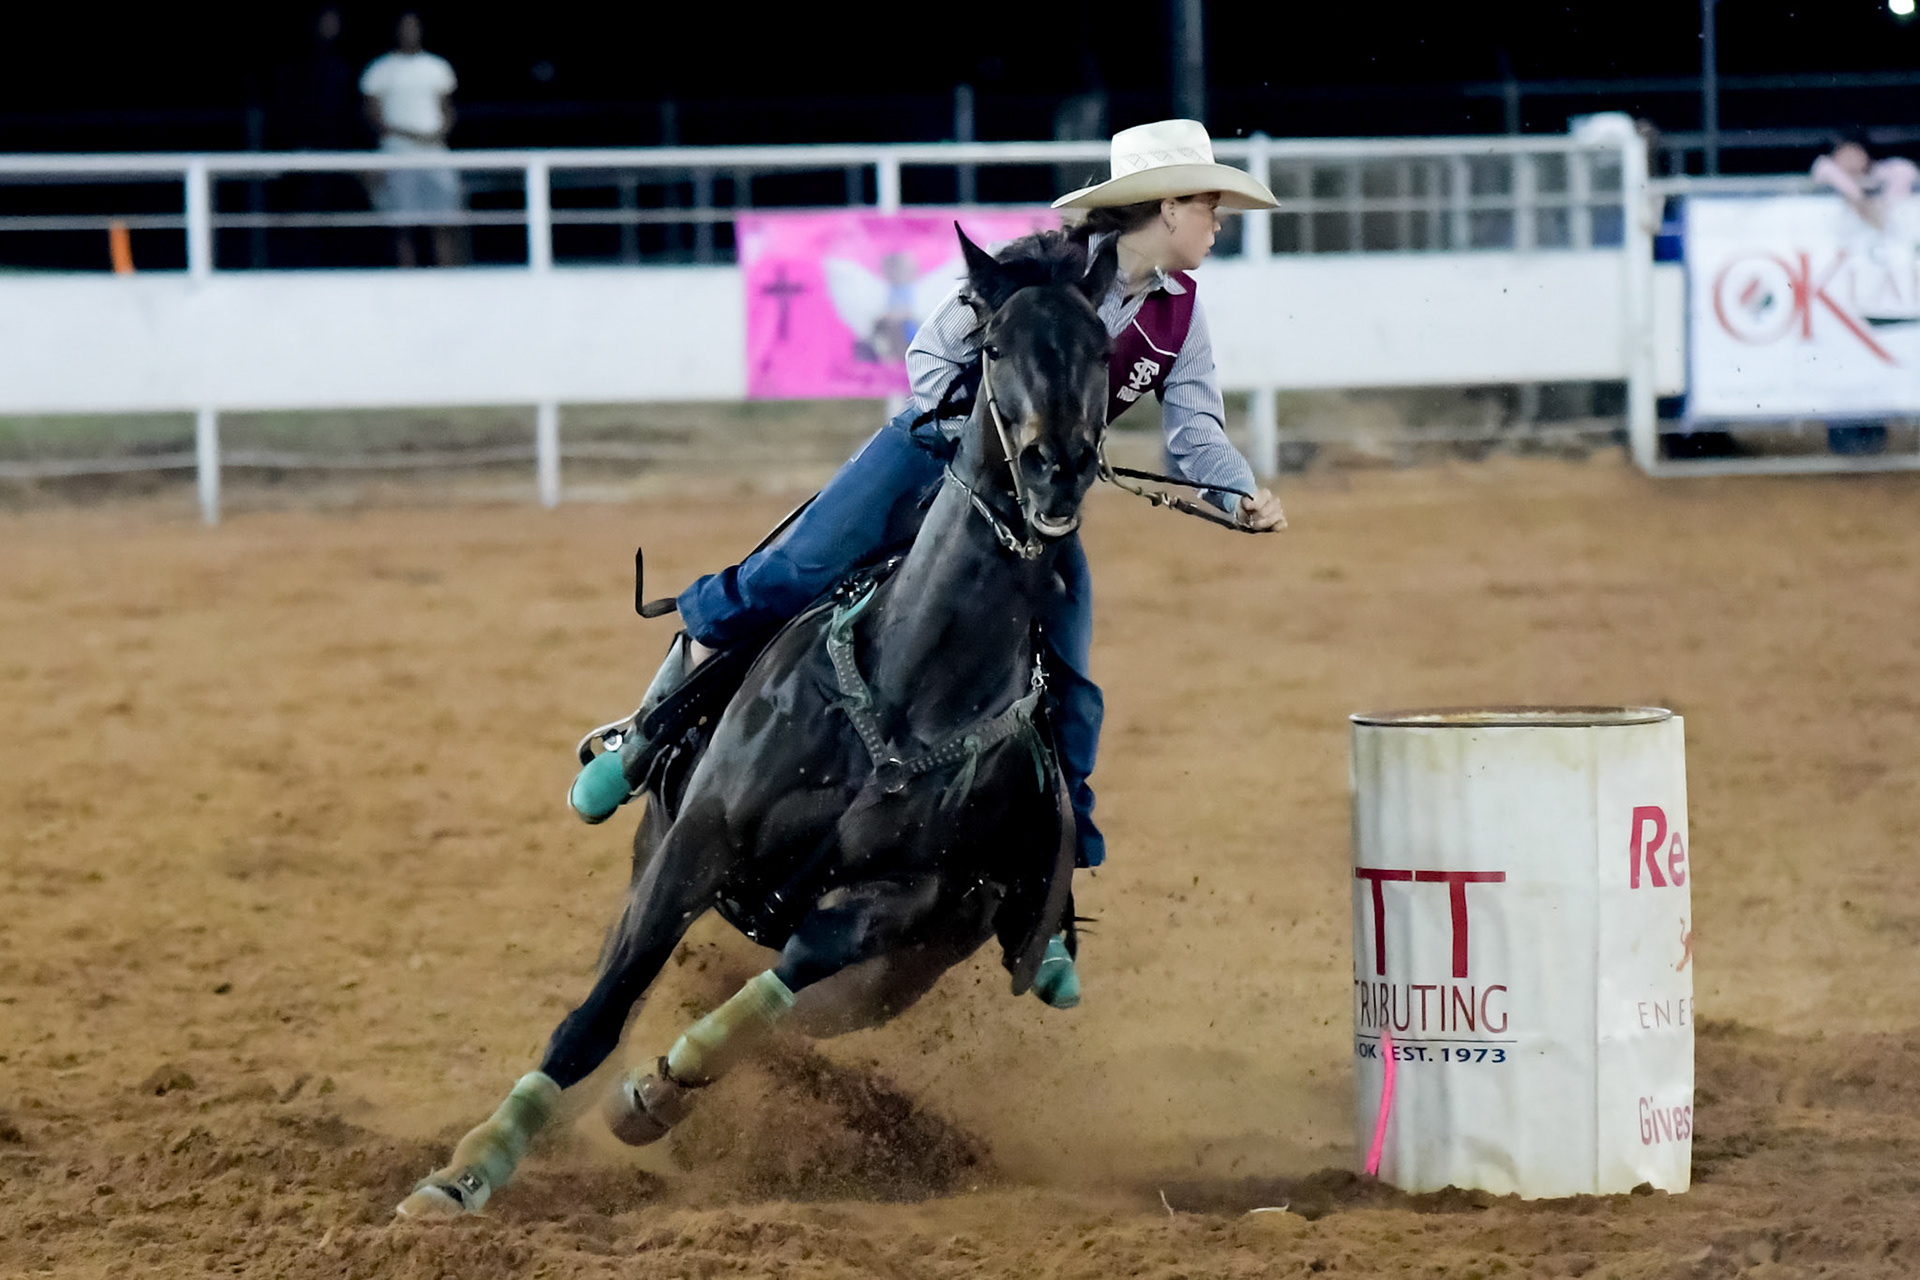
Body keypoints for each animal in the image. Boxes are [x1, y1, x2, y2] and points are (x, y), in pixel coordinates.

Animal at [395, 225, 1119, 1217]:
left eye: (1102, 350)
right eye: (997, 344)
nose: (1059, 469)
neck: (905, 695)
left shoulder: (898, 909)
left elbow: (773, 993)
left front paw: (657, 1093)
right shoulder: (695, 842)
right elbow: (597, 1013)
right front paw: (466, 1171)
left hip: (900, 977)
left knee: (797, 1015)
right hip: (656, 839)